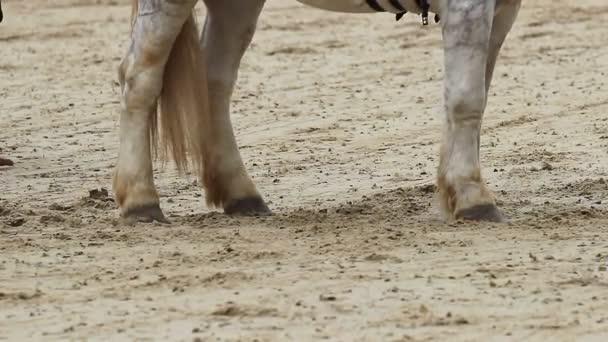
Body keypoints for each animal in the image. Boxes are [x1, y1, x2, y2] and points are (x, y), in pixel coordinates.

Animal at [115, 0, 524, 223]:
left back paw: (240, 193)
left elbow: (473, 99)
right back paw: (140, 199)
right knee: (140, 78)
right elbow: (466, 100)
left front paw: (455, 189)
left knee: (215, 83)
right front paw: (472, 196)